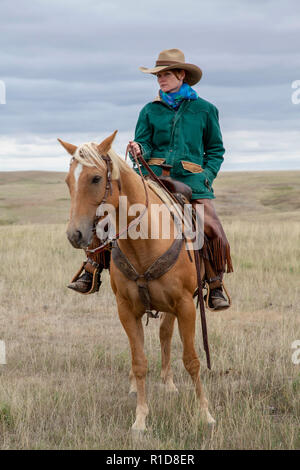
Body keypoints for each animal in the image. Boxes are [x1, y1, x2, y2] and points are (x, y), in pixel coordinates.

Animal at [58, 130, 214, 432]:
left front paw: (205, 413)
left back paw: (169, 383)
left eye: (96, 178)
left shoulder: (185, 306)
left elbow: (191, 360)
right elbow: (139, 360)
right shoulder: (126, 309)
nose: (75, 235)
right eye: (68, 180)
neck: (145, 242)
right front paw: (141, 419)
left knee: (166, 334)